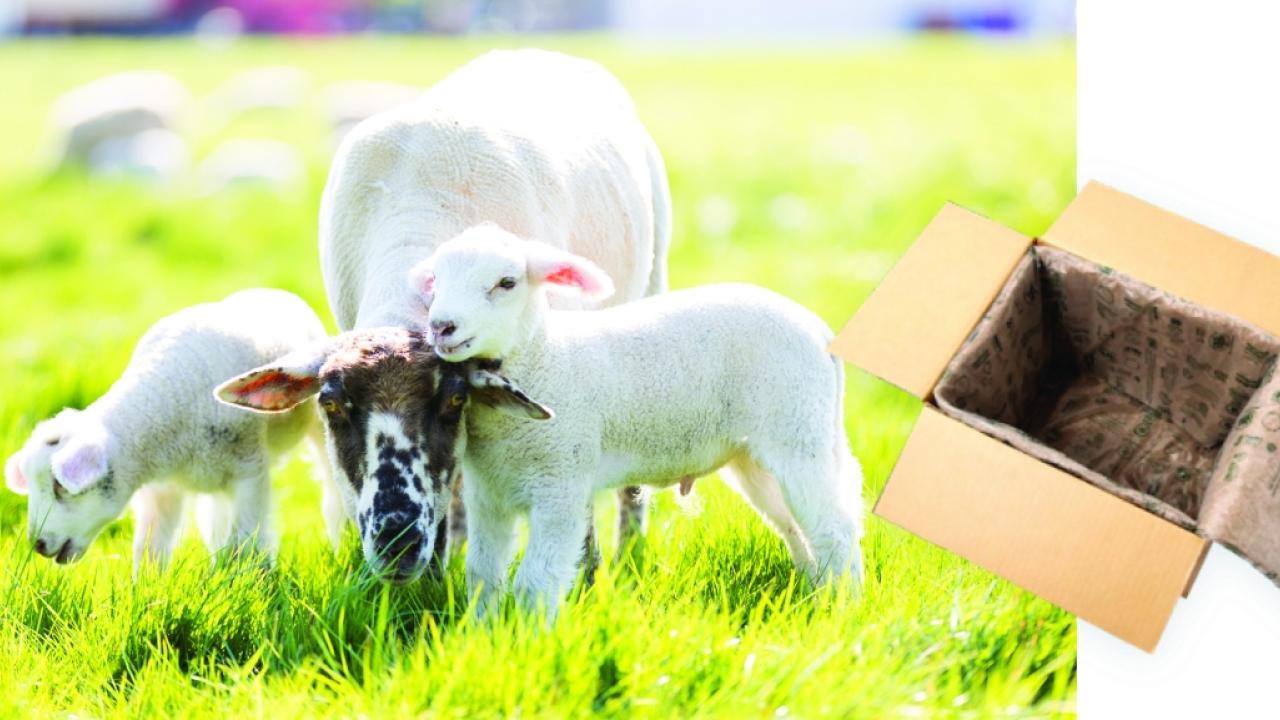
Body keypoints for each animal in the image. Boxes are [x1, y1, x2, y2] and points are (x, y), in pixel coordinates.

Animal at [2, 289, 342, 572]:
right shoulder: (161, 489)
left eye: (60, 487)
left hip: (313, 423)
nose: (38, 545)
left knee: (329, 487)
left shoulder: (250, 472)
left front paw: (247, 584)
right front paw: (146, 594)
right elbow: (149, 550)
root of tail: (269, 291)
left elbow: (244, 544)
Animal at [301, 48, 670, 579]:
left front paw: (586, 575)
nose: (397, 541)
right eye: (330, 405)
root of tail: (542, 53)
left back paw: (631, 551)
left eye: (453, 400)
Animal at [414, 226, 866, 615]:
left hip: (798, 431)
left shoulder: (560, 485)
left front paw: (529, 638)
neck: (545, 357)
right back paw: (817, 594)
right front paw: (483, 633)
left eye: (506, 283)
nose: (442, 326)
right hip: (757, 454)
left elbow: (535, 582)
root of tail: (819, 331)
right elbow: (482, 576)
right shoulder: (489, 494)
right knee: (796, 527)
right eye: (436, 280)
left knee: (835, 529)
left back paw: (844, 610)